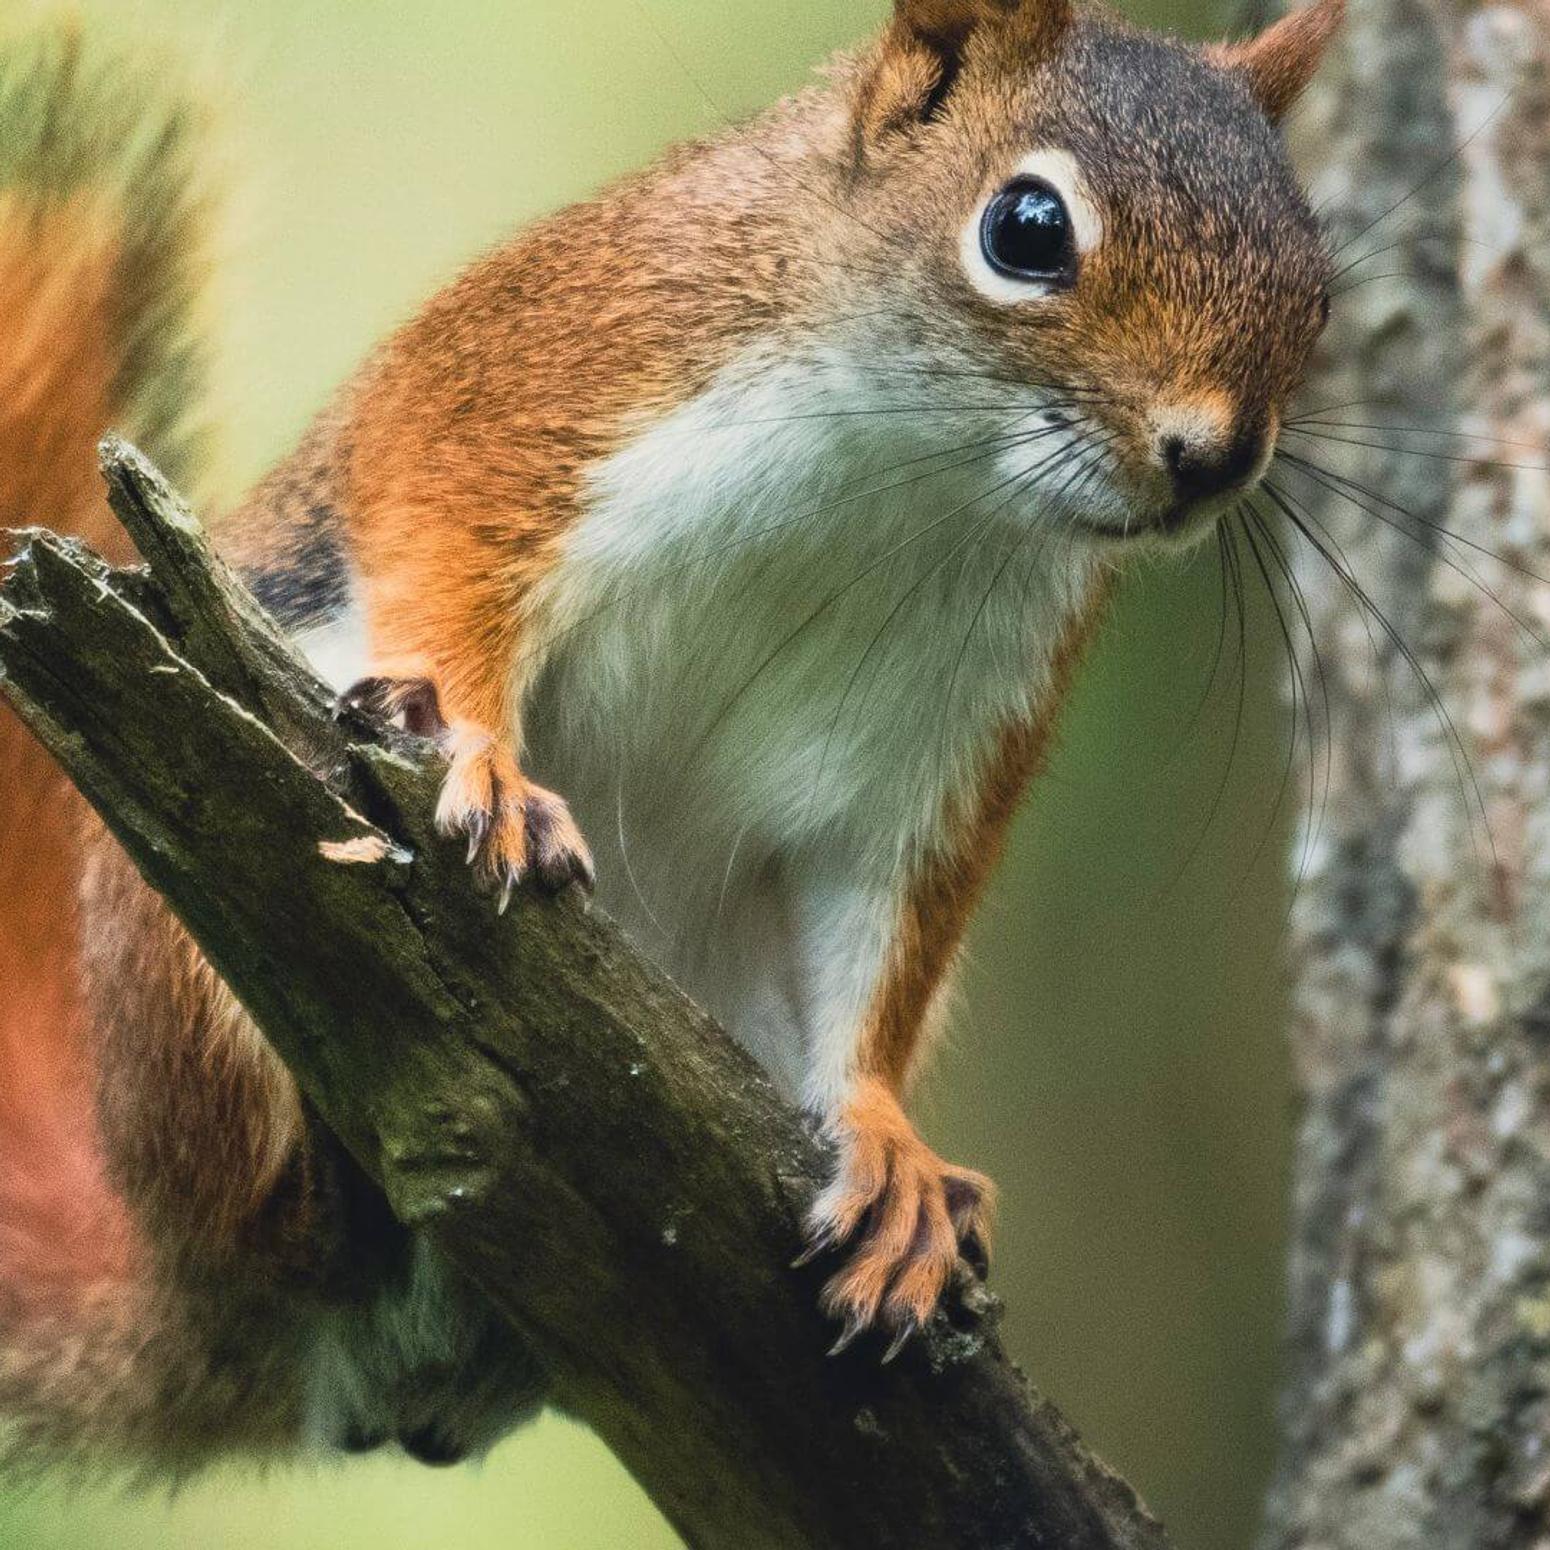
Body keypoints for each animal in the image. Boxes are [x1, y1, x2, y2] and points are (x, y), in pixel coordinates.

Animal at [0, 0, 1342, 1477]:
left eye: (1320, 285)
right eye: (1027, 228)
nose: (1214, 456)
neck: (921, 468)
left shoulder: (951, 736)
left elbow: (885, 924)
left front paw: (887, 1146)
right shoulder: (553, 363)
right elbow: (432, 522)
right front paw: (480, 762)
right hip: (187, 964)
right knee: (275, 1206)